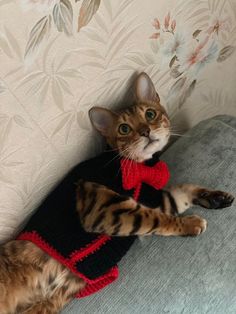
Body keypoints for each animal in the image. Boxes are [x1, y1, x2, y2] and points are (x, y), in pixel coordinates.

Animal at [0, 72, 233, 312]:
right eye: (124, 129)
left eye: (150, 114)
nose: (146, 131)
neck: (140, 168)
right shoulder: (105, 209)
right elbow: (158, 219)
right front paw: (191, 223)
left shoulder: (155, 199)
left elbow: (184, 191)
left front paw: (214, 198)